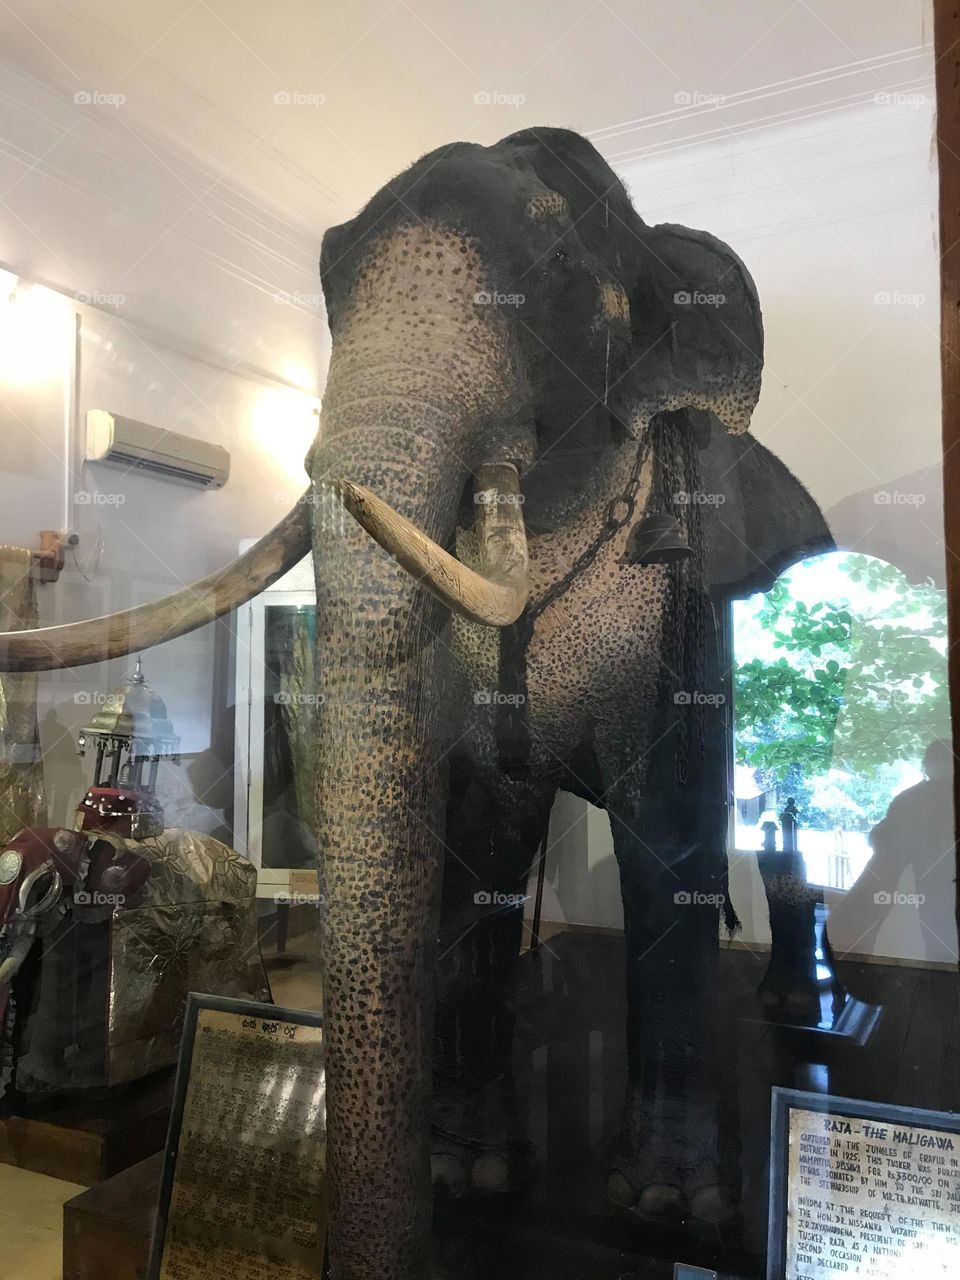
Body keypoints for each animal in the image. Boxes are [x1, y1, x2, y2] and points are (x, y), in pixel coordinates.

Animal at [0, 128, 831, 1279]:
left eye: (555, 272)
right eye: (328, 277)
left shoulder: (683, 600)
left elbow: (668, 836)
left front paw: (670, 1205)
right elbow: (476, 833)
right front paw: (465, 1174)